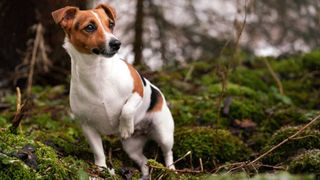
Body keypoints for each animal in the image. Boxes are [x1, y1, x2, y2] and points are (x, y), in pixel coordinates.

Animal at [51, 2, 175, 179]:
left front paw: (125, 127)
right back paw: (145, 174)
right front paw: (101, 168)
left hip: (164, 133)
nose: (117, 43)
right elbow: (98, 151)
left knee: (168, 153)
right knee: (144, 161)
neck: (96, 70)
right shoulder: (88, 126)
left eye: (110, 24)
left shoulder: (138, 89)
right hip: (131, 147)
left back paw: (171, 169)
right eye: (90, 27)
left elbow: (127, 109)